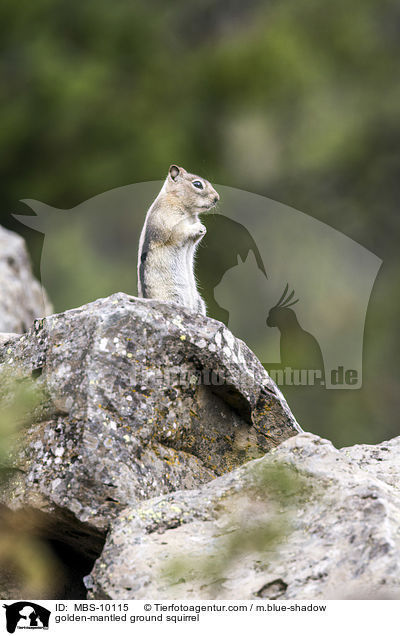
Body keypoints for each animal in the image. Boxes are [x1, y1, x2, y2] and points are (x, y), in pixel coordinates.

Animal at [137, 164, 219, 314]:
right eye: (197, 184)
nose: (217, 198)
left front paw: (203, 229)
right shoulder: (168, 221)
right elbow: (178, 233)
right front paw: (198, 227)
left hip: (199, 302)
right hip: (172, 296)